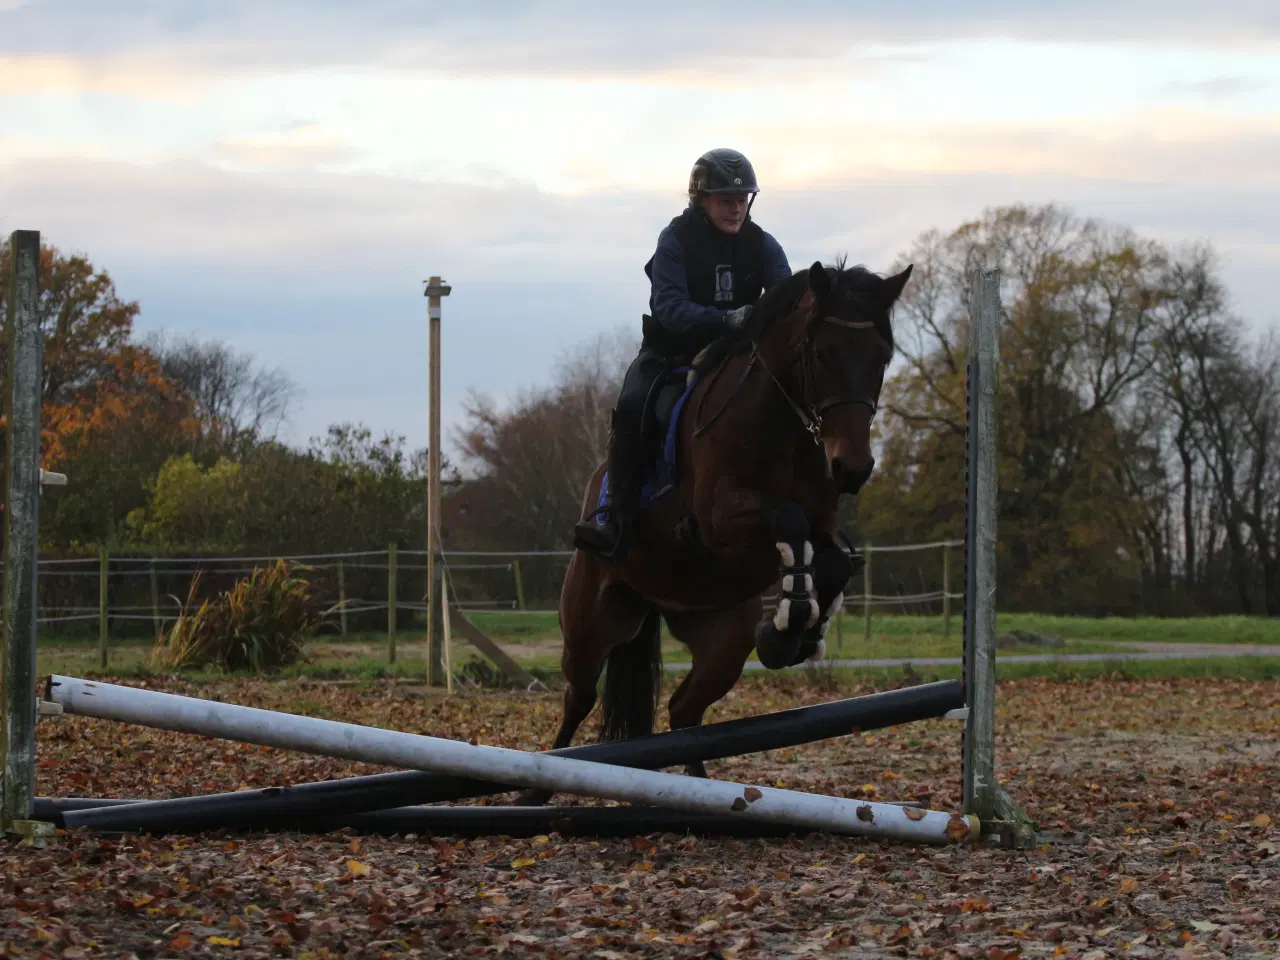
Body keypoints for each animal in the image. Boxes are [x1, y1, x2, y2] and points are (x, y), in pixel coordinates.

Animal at [519, 257, 911, 803]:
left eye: (882, 358)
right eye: (823, 352)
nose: (852, 469)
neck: (782, 426)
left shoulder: (822, 525)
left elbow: (829, 560)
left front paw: (792, 635)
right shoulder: (718, 520)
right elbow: (788, 521)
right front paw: (790, 622)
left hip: (722, 639)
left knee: (684, 711)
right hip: (590, 624)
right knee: (579, 698)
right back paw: (534, 789)